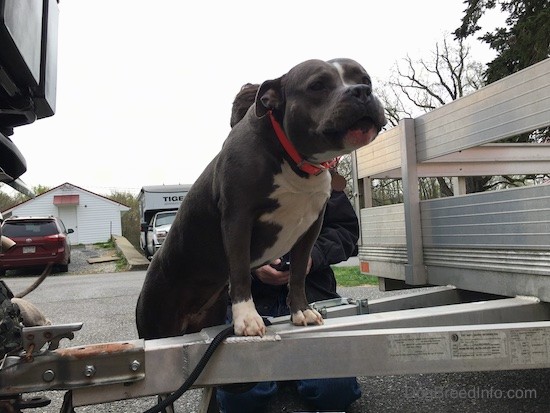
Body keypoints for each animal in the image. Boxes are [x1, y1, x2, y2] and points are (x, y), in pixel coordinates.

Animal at [137, 58, 388, 338]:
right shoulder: (237, 220)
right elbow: (241, 272)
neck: (295, 161)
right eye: (317, 85)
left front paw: (301, 311)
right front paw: (247, 318)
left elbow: (298, 272)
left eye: (365, 80)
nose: (361, 91)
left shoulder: (310, 229)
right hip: (156, 321)